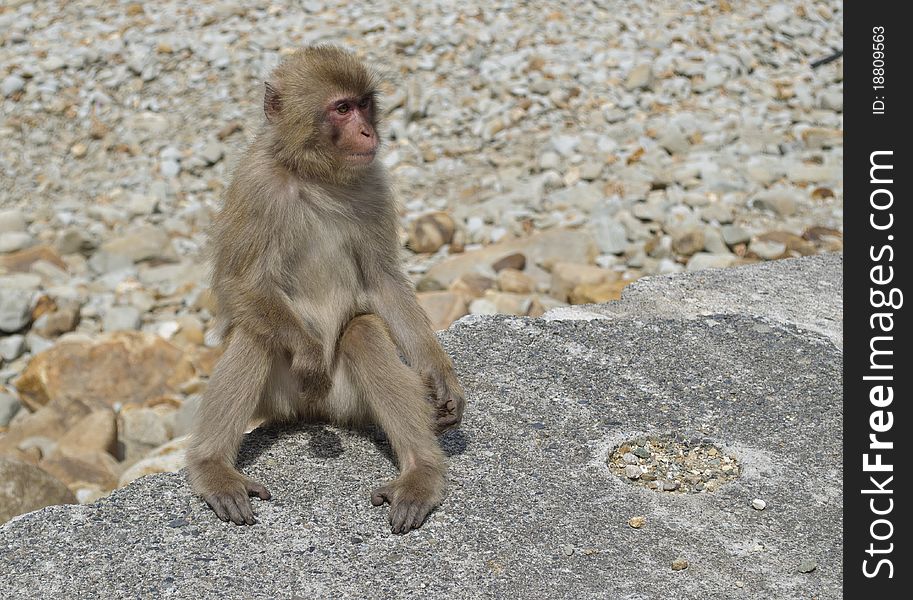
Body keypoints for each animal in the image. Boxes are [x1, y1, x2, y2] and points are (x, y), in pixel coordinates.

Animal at [189, 48, 466, 536]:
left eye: (363, 103)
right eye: (341, 108)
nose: (368, 131)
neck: (313, 176)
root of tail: (314, 413)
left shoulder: (374, 182)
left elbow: (382, 281)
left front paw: (438, 373)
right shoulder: (255, 186)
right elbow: (238, 283)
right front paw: (308, 353)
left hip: (349, 401)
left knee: (364, 331)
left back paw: (420, 472)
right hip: (281, 397)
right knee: (257, 334)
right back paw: (213, 468)